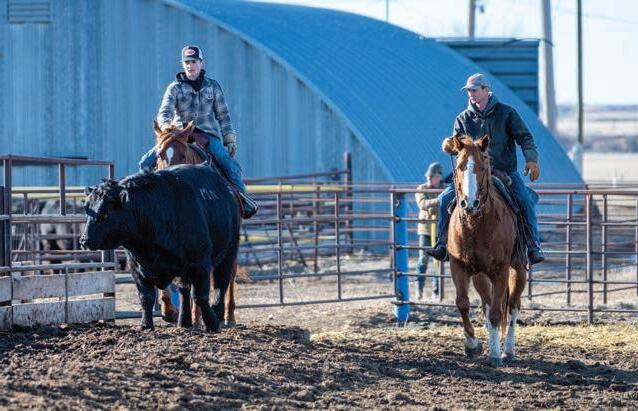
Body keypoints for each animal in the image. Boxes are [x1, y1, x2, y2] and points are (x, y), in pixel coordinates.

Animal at [79, 164, 240, 332]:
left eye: (106, 213)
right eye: (87, 209)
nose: (84, 241)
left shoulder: (200, 263)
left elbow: (200, 297)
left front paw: (212, 323)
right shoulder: (136, 267)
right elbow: (146, 297)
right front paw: (146, 325)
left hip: (229, 252)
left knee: (221, 284)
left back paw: (219, 316)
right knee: (184, 290)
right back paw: (184, 321)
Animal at [444, 134, 527, 367]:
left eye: (482, 167)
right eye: (460, 166)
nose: (469, 203)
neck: (476, 224)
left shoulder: (501, 270)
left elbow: (498, 313)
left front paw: (495, 354)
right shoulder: (458, 265)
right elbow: (463, 303)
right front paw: (472, 345)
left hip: (518, 270)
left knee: (513, 305)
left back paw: (507, 350)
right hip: (480, 276)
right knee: (487, 304)